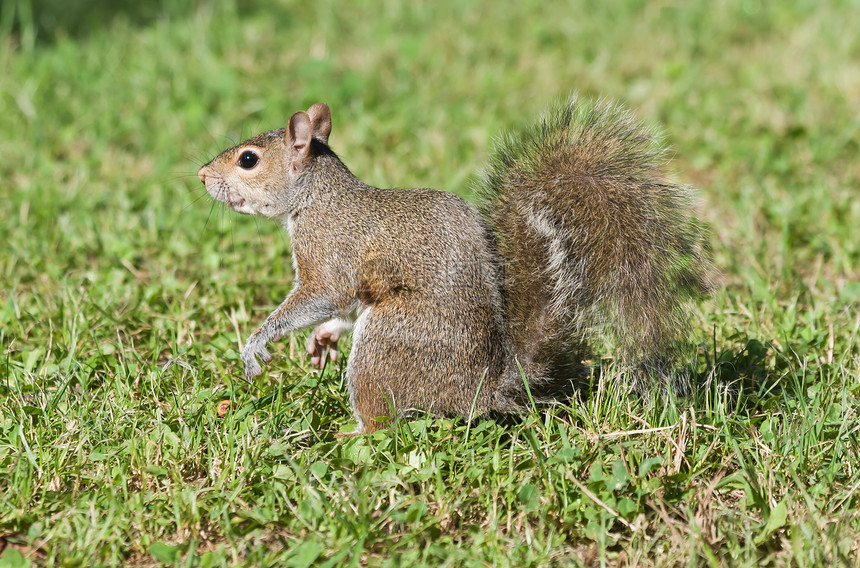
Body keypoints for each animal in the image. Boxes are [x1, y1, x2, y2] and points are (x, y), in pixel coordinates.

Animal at [200, 97, 712, 434]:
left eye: (248, 160)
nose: (202, 175)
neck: (315, 196)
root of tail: (481, 389)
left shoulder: (329, 252)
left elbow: (325, 294)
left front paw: (257, 342)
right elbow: (341, 310)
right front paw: (321, 338)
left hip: (386, 342)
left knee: (385, 421)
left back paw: (350, 432)